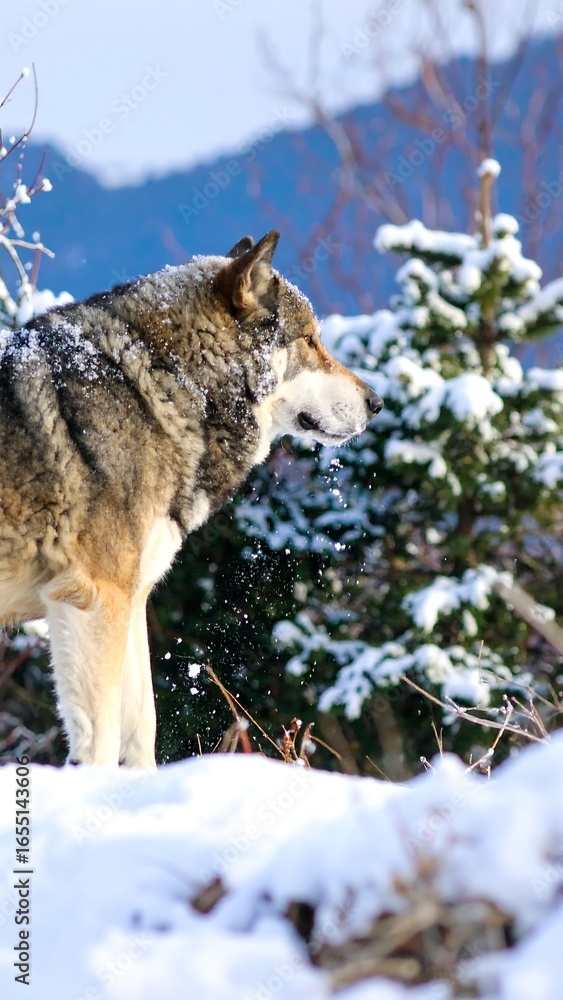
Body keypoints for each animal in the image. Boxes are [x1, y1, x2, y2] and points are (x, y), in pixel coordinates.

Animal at [0, 231, 382, 767]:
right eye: (310, 340)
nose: (377, 403)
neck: (156, 388)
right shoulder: (96, 597)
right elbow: (102, 739)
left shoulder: (130, 599)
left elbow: (141, 729)